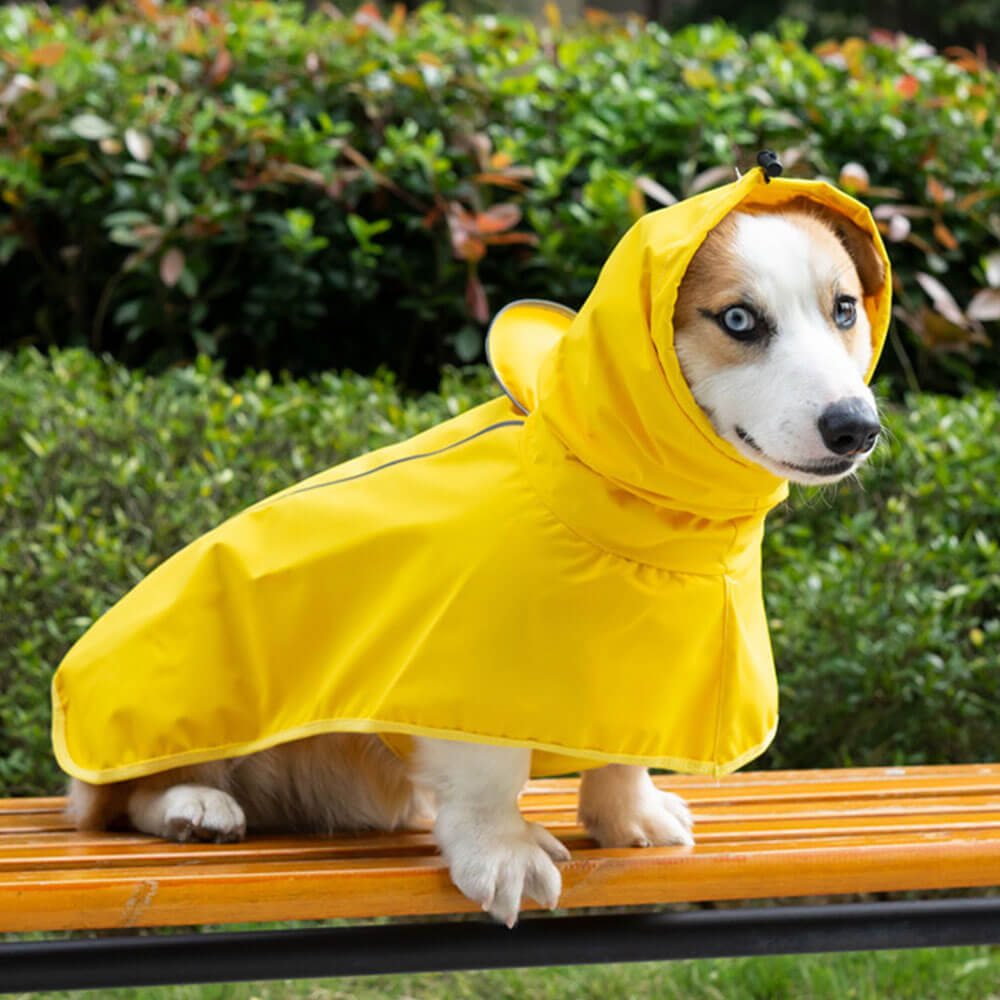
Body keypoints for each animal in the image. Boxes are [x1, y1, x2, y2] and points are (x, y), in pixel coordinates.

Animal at [66, 184, 888, 924]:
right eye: (739, 319)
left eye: (845, 309)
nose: (855, 427)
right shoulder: (465, 666)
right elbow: (488, 773)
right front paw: (505, 856)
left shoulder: (633, 678)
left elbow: (622, 753)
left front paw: (632, 818)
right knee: (121, 797)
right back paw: (196, 806)